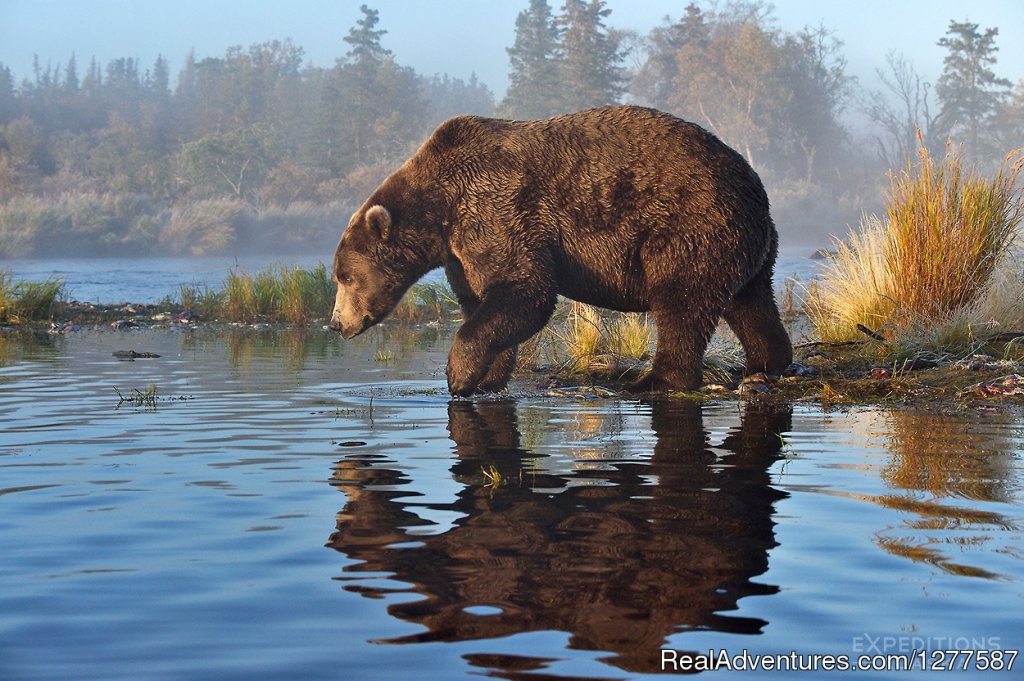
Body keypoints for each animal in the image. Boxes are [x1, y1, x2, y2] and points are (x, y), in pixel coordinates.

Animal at [331, 103, 794, 395]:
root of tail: (756, 189)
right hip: (743, 243)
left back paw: (655, 380)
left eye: (345, 276)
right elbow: (484, 300)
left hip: (687, 224)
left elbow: (526, 290)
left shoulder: (494, 209)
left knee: (681, 303)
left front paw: (457, 376)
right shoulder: (462, 251)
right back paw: (766, 362)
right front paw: (487, 376)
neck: (441, 211)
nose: (336, 323)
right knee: (749, 300)